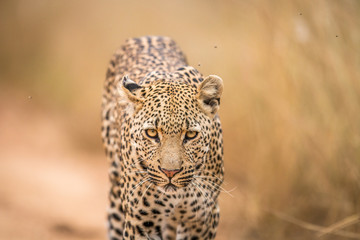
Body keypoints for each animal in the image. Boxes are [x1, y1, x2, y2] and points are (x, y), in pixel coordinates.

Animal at [101, 36, 224, 240]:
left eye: (191, 134)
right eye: (152, 133)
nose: (170, 173)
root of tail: (147, 36)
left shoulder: (202, 221)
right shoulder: (141, 222)